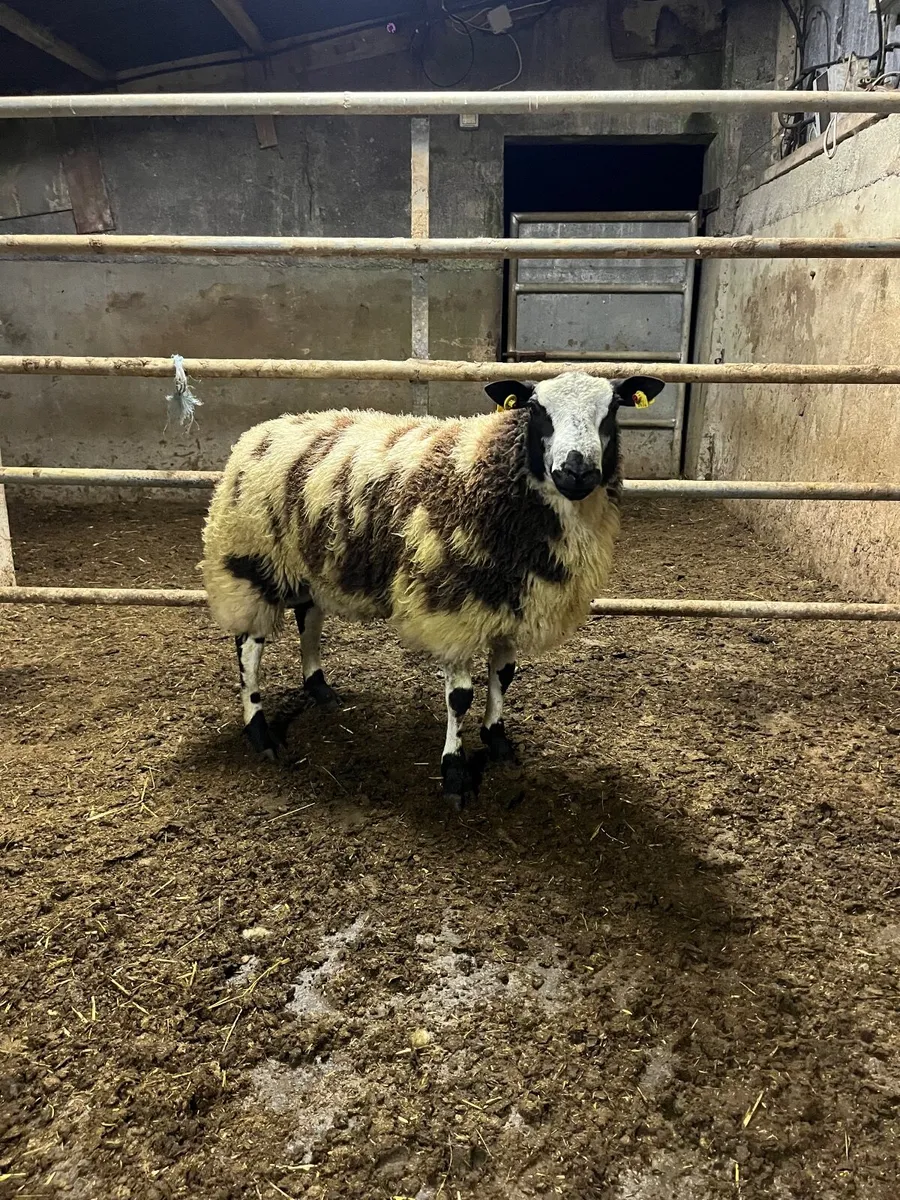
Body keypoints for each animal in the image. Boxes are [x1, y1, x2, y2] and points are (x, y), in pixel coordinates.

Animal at [201, 371, 665, 806]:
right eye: (535, 408)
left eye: (614, 408)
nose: (576, 471)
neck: (487, 469)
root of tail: (262, 431)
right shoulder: (452, 607)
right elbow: (460, 697)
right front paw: (455, 774)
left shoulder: (507, 601)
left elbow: (504, 676)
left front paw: (497, 742)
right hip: (251, 560)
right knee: (248, 648)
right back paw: (260, 733)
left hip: (310, 559)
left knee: (307, 616)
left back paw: (320, 689)